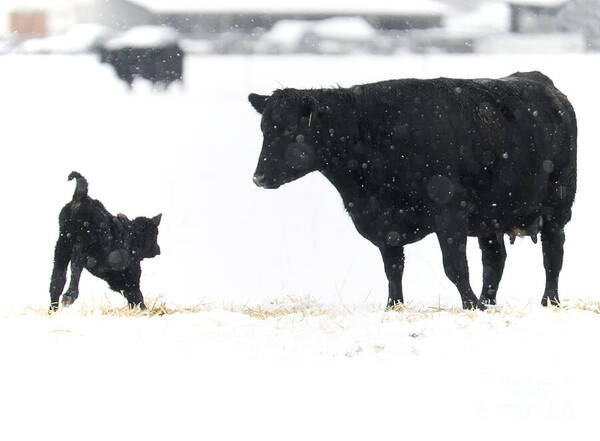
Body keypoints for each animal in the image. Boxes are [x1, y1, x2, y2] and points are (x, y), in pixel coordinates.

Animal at [248, 70, 576, 308]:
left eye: (291, 130)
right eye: (264, 129)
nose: (259, 177)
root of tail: (543, 84)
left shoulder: (449, 215)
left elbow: (455, 267)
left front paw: (471, 306)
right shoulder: (385, 225)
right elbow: (393, 269)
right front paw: (394, 306)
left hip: (557, 206)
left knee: (553, 255)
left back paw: (548, 301)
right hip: (491, 216)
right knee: (494, 259)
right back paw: (490, 301)